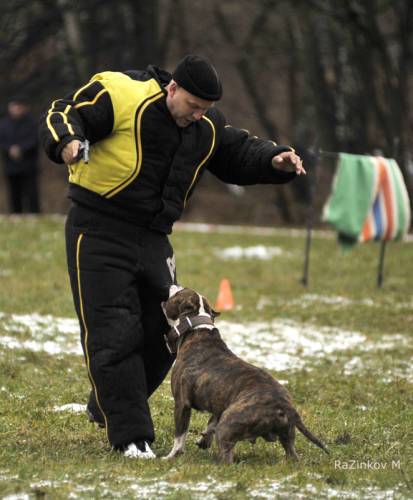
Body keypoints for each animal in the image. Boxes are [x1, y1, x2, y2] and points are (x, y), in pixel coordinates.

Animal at [162, 286, 329, 464]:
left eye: (181, 292)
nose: (173, 285)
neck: (197, 330)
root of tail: (285, 405)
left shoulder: (182, 403)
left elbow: (180, 435)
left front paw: (171, 456)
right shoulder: (219, 405)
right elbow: (211, 422)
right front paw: (204, 439)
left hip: (227, 425)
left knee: (226, 456)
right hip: (286, 435)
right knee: (292, 454)